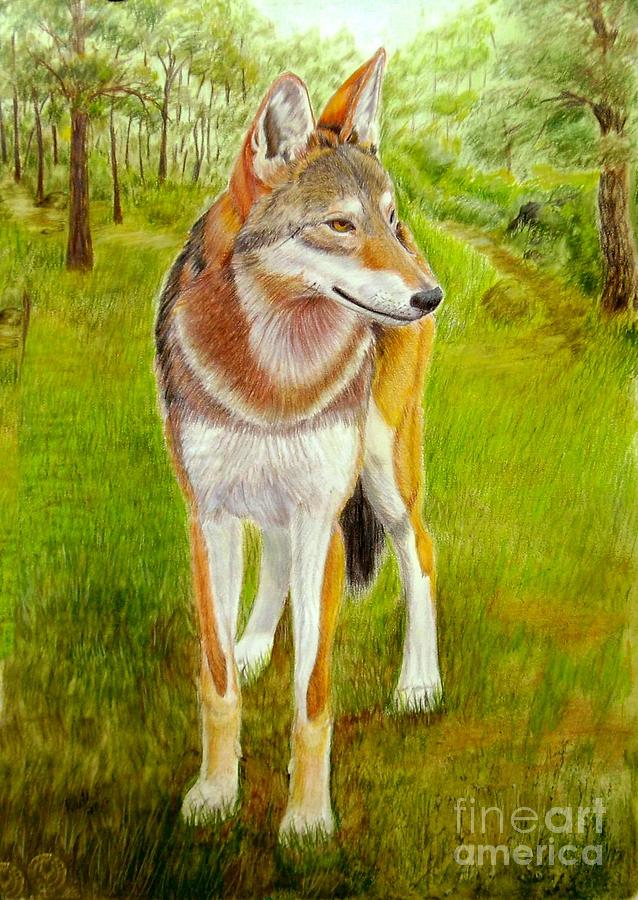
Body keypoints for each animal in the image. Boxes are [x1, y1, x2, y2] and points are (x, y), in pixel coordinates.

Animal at [155, 48, 443, 840]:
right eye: (340, 224)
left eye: (387, 218)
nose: (431, 297)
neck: (273, 377)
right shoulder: (209, 519)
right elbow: (218, 680)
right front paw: (214, 794)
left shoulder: (325, 520)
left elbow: (311, 696)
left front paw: (308, 822)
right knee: (276, 565)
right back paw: (255, 646)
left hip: (385, 476)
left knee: (421, 554)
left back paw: (420, 683)